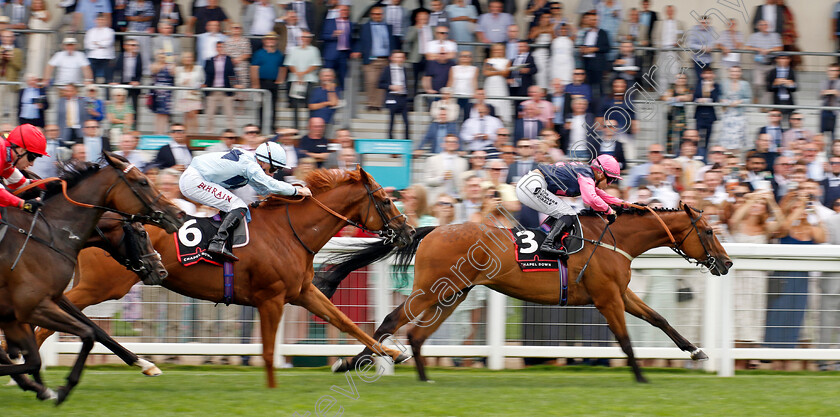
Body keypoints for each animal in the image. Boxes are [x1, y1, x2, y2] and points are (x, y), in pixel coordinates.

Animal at [0, 154, 183, 404]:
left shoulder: (47, 300)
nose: (178, 214)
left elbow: (95, 330)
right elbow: (85, 333)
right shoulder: (32, 305)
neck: (50, 232)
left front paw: (145, 363)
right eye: (143, 182)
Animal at [34, 167, 416, 386]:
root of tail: (95, 217)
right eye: (385, 200)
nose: (409, 231)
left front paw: (391, 354)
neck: (290, 231)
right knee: (44, 323)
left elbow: (345, 322)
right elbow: (268, 349)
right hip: (101, 286)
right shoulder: (271, 298)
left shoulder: (302, 292)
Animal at [324, 203, 732, 382]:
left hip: (454, 293)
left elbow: (659, 318)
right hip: (431, 289)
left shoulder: (621, 293)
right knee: (392, 320)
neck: (616, 240)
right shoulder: (607, 299)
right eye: (709, 231)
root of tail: (435, 229)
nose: (727, 263)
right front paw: (641, 376)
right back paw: (351, 362)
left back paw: (423, 376)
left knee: (417, 334)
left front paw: (696, 351)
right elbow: (625, 338)